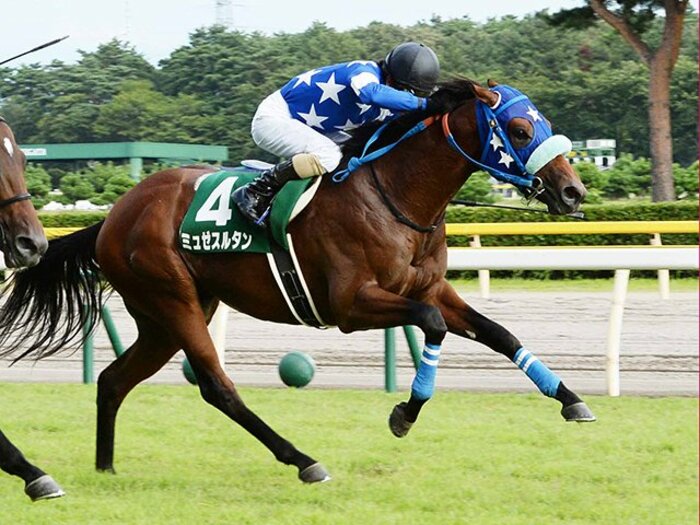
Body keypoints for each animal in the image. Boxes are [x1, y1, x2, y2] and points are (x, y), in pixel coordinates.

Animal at [0, 80, 595, 484]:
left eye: (542, 124)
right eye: (520, 130)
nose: (573, 192)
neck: (396, 196)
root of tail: (114, 216)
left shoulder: (428, 289)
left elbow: (499, 333)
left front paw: (570, 399)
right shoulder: (352, 306)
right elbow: (431, 327)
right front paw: (404, 413)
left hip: (166, 316)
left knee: (114, 380)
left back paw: (104, 469)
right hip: (173, 300)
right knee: (216, 386)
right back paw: (303, 460)